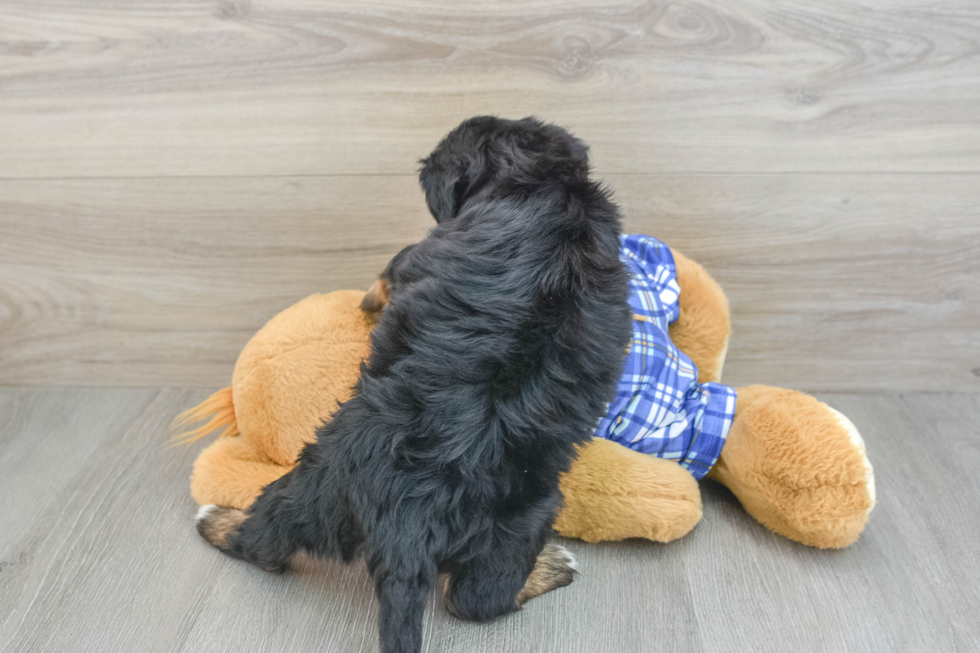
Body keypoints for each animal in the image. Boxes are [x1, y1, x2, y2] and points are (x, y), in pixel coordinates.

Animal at [195, 117, 632, 652]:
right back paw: (548, 566)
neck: (541, 181)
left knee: (264, 543)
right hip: (519, 522)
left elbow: (389, 273)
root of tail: (408, 515)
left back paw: (217, 520)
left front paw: (368, 300)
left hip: (311, 489)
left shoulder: (417, 256)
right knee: (475, 600)